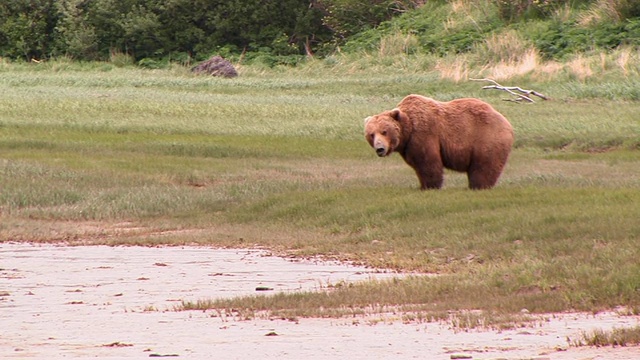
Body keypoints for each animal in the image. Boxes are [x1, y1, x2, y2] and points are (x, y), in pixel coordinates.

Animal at [364, 94, 516, 190]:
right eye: (371, 134)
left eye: (384, 131)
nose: (380, 148)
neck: (408, 130)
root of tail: (506, 122)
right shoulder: (408, 147)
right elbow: (418, 165)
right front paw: (423, 185)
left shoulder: (424, 135)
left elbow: (428, 163)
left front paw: (430, 186)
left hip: (486, 139)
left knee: (483, 167)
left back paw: (478, 186)